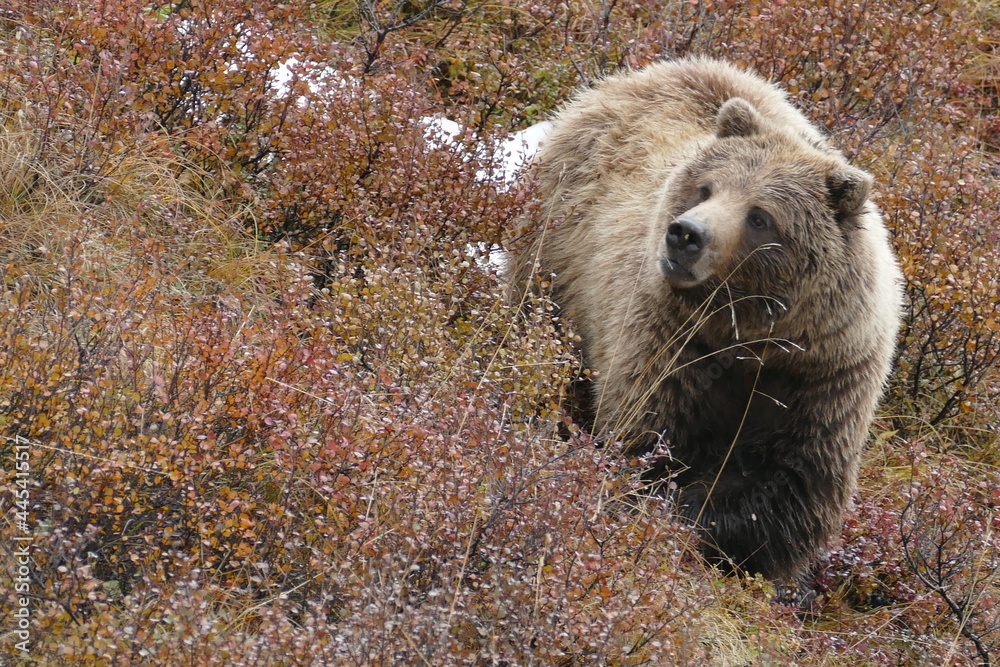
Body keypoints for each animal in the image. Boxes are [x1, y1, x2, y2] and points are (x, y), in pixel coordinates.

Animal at [507, 57, 903, 587]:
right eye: (707, 188)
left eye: (761, 216)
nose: (685, 234)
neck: (750, 338)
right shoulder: (671, 345)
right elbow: (652, 442)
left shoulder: (825, 380)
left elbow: (785, 485)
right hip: (557, 250)